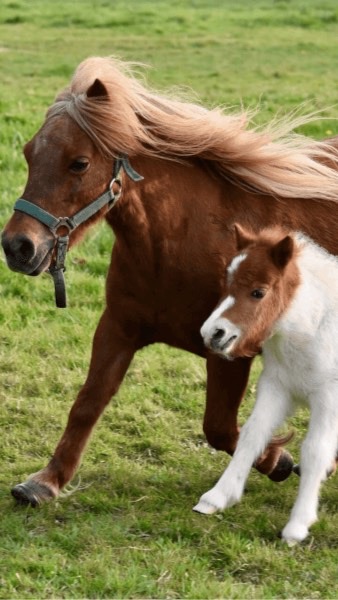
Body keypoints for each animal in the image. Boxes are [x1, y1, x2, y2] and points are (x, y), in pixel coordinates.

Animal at [1, 57, 338, 506]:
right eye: (28, 154)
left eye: (79, 163)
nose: (17, 247)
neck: (178, 242)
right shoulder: (118, 328)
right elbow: (88, 402)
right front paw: (46, 480)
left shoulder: (229, 350)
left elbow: (220, 428)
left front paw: (277, 460)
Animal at [195, 224, 338, 544]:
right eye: (227, 284)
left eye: (258, 292)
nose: (212, 333)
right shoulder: (277, 387)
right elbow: (252, 434)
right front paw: (217, 497)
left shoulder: (329, 399)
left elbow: (314, 451)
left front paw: (297, 526)